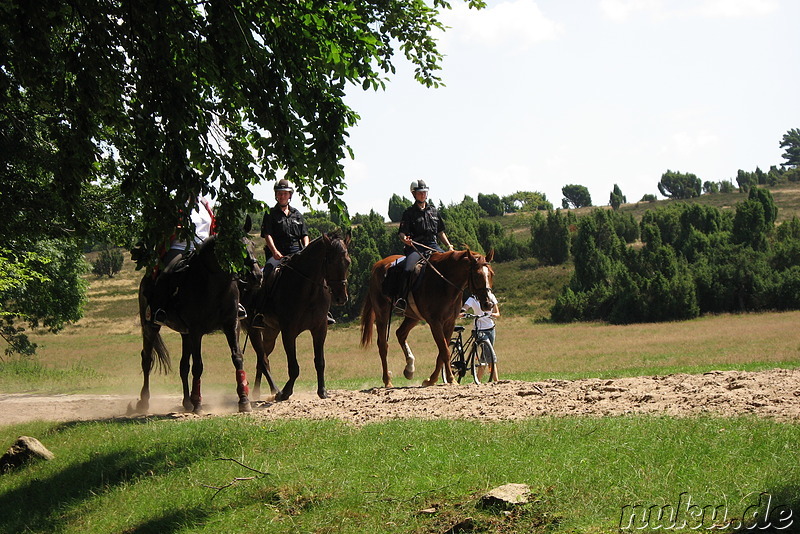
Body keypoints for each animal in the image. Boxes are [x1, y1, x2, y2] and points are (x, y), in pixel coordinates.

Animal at [136, 230, 260, 414]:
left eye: (252, 244)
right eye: (234, 246)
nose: (257, 275)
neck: (213, 284)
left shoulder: (232, 325)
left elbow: (237, 357)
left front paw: (244, 399)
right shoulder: (196, 331)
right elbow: (198, 366)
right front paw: (198, 403)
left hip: (184, 334)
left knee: (183, 366)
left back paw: (187, 402)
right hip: (151, 326)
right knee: (147, 360)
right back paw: (144, 402)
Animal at [245, 230, 352, 402]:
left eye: (348, 262)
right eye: (330, 262)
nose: (341, 298)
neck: (308, 290)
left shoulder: (320, 329)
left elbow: (320, 362)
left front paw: (322, 391)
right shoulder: (288, 332)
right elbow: (294, 367)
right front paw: (285, 392)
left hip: (270, 332)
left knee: (262, 359)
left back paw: (261, 391)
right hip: (254, 329)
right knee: (262, 358)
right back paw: (267, 391)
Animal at [360, 249, 494, 388]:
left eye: (491, 274)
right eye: (477, 275)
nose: (488, 304)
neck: (445, 283)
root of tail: (377, 265)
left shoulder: (449, 323)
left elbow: (442, 352)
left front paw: (432, 380)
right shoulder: (435, 323)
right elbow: (445, 351)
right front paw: (451, 379)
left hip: (413, 317)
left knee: (400, 333)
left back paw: (409, 368)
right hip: (382, 313)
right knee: (383, 345)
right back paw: (387, 380)